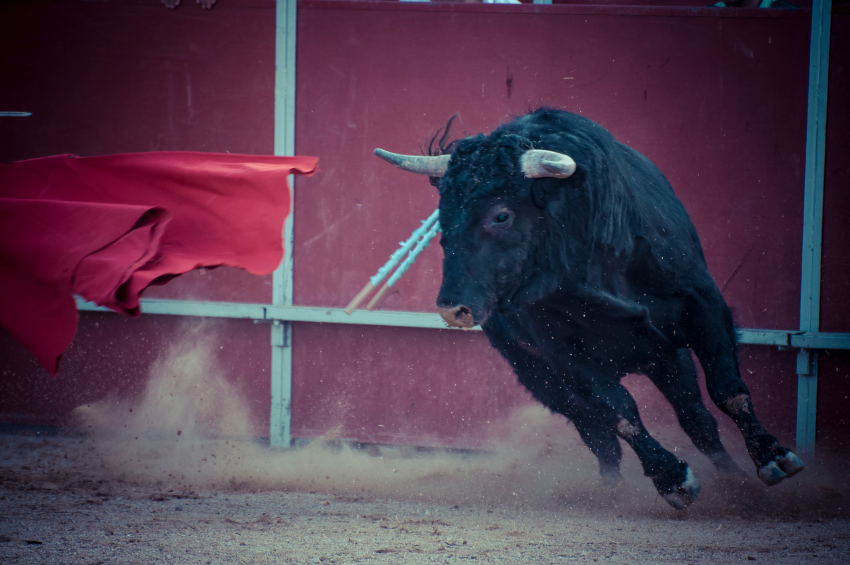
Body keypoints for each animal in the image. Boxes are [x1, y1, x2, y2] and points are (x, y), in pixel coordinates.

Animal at [376, 107, 800, 506]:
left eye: (501, 215)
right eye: (443, 217)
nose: (452, 308)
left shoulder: (703, 304)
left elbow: (727, 388)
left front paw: (773, 458)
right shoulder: (563, 354)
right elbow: (620, 414)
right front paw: (673, 479)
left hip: (665, 356)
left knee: (694, 416)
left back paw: (733, 480)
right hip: (539, 374)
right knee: (597, 432)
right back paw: (610, 490)